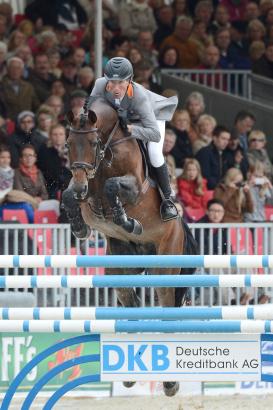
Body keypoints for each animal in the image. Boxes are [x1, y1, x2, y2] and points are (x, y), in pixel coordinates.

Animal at [63, 97, 196, 398]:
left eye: (93, 143)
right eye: (67, 144)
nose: (80, 185)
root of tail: (180, 229)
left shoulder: (132, 187)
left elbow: (113, 187)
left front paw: (126, 220)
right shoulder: (85, 191)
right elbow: (68, 195)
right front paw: (79, 227)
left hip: (164, 269)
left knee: (168, 308)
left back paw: (170, 383)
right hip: (121, 268)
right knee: (131, 303)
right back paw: (129, 373)